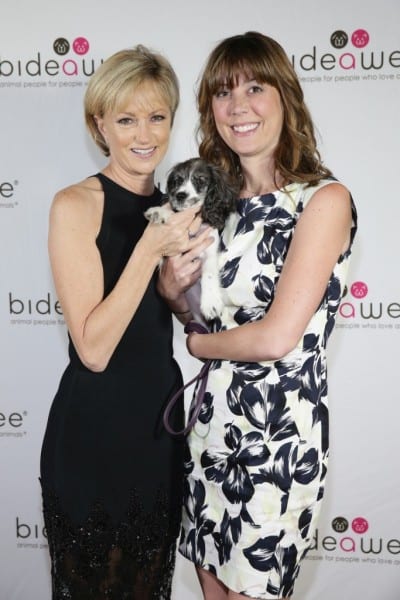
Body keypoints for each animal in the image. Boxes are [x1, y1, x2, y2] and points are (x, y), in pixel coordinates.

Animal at [144, 157, 238, 322]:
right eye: (177, 180)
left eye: (200, 180)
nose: (180, 195)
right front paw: (159, 212)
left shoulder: (210, 250)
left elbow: (209, 274)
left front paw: (210, 303)